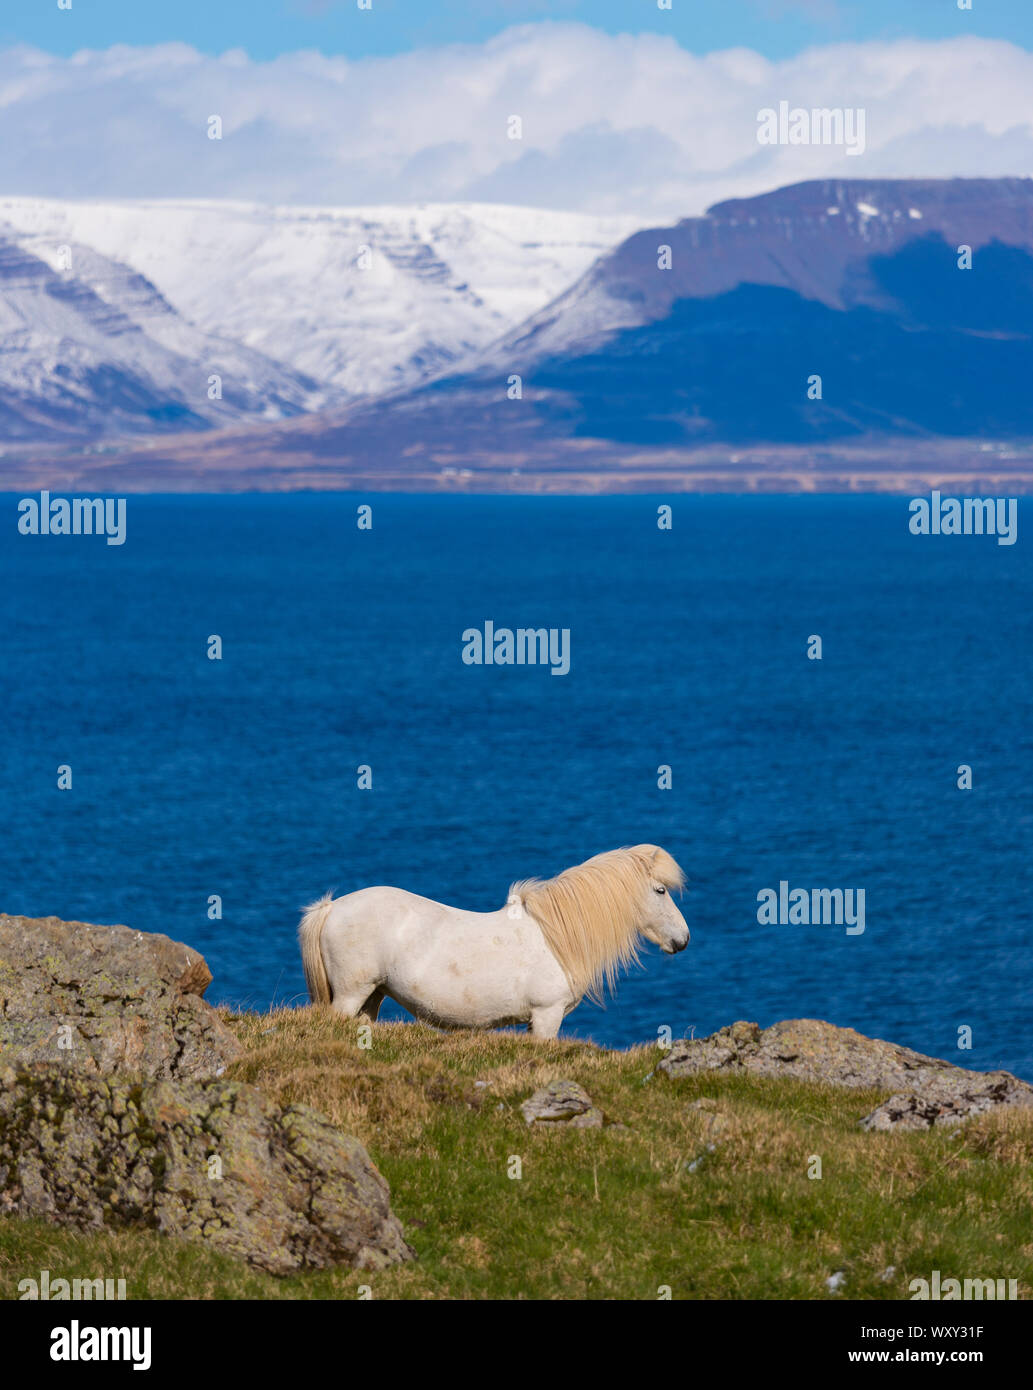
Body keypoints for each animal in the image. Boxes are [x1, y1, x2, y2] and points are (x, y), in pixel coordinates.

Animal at [297, 839, 686, 1039]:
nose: (683, 940)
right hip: (350, 994)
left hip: (373, 995)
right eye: (661, 890)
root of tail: (330, 908)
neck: (556, 939)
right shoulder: (547, 1015)